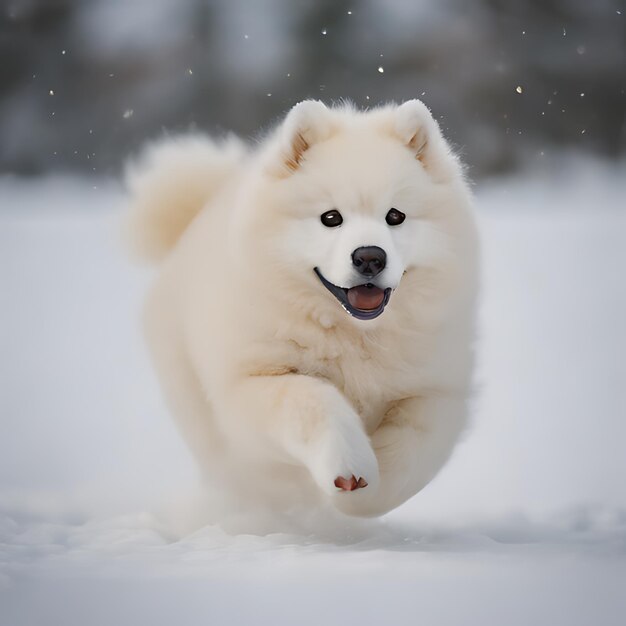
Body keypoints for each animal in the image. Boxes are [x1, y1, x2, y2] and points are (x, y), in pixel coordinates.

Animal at [127, 98, 478, 516]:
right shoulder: (254, 380)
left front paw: (368, 492)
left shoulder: (436, 389)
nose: (370, 257)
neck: (354, 335)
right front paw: (349, 469)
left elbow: (412, 451)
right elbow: (313, 400)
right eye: (331, 218)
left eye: (395, 216)